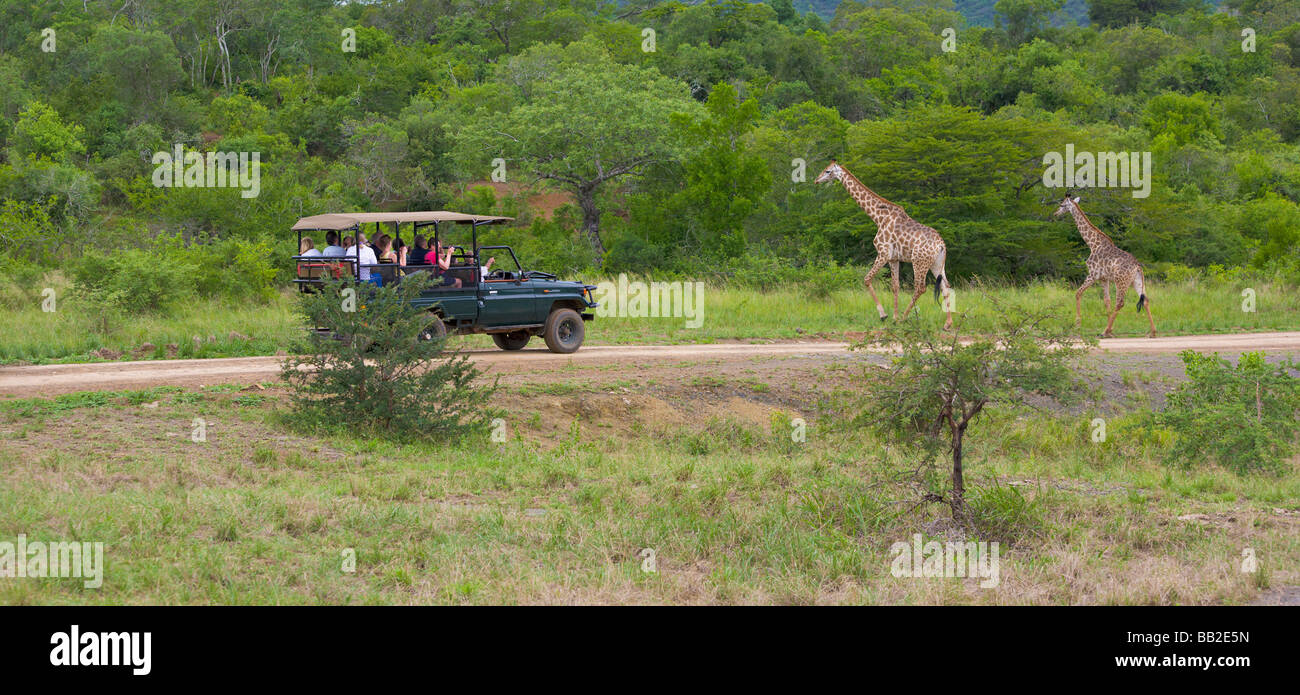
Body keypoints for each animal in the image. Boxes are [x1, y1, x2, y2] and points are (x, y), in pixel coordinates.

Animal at [811, 161, 956, 329]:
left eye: (827, 171)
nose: (816, 180)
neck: (878, 217)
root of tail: (941, 245)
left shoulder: (883, 253)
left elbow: (867, 279)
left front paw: (884, 315)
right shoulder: (894, 258)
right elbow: (895, 286)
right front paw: (893, 317)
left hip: (919, 262)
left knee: (921, 288)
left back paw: (905, 318)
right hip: (937, 264)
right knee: (945, 286)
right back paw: (947, 324)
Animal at [1055, 194, 1159, 337]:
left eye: (1062, 205)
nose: (1055, 214)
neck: (1092, 244)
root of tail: (1138, 267)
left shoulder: (1093, 275)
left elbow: (1078, 293)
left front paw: (1077, 326)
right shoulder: (1104, 279)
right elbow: (1106, 301)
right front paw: (1111, 330)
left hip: (1121, 281)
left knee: (1120, 303)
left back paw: (1105, 331)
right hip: (1136, 281)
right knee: (1145, 300)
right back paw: (1152, 332)